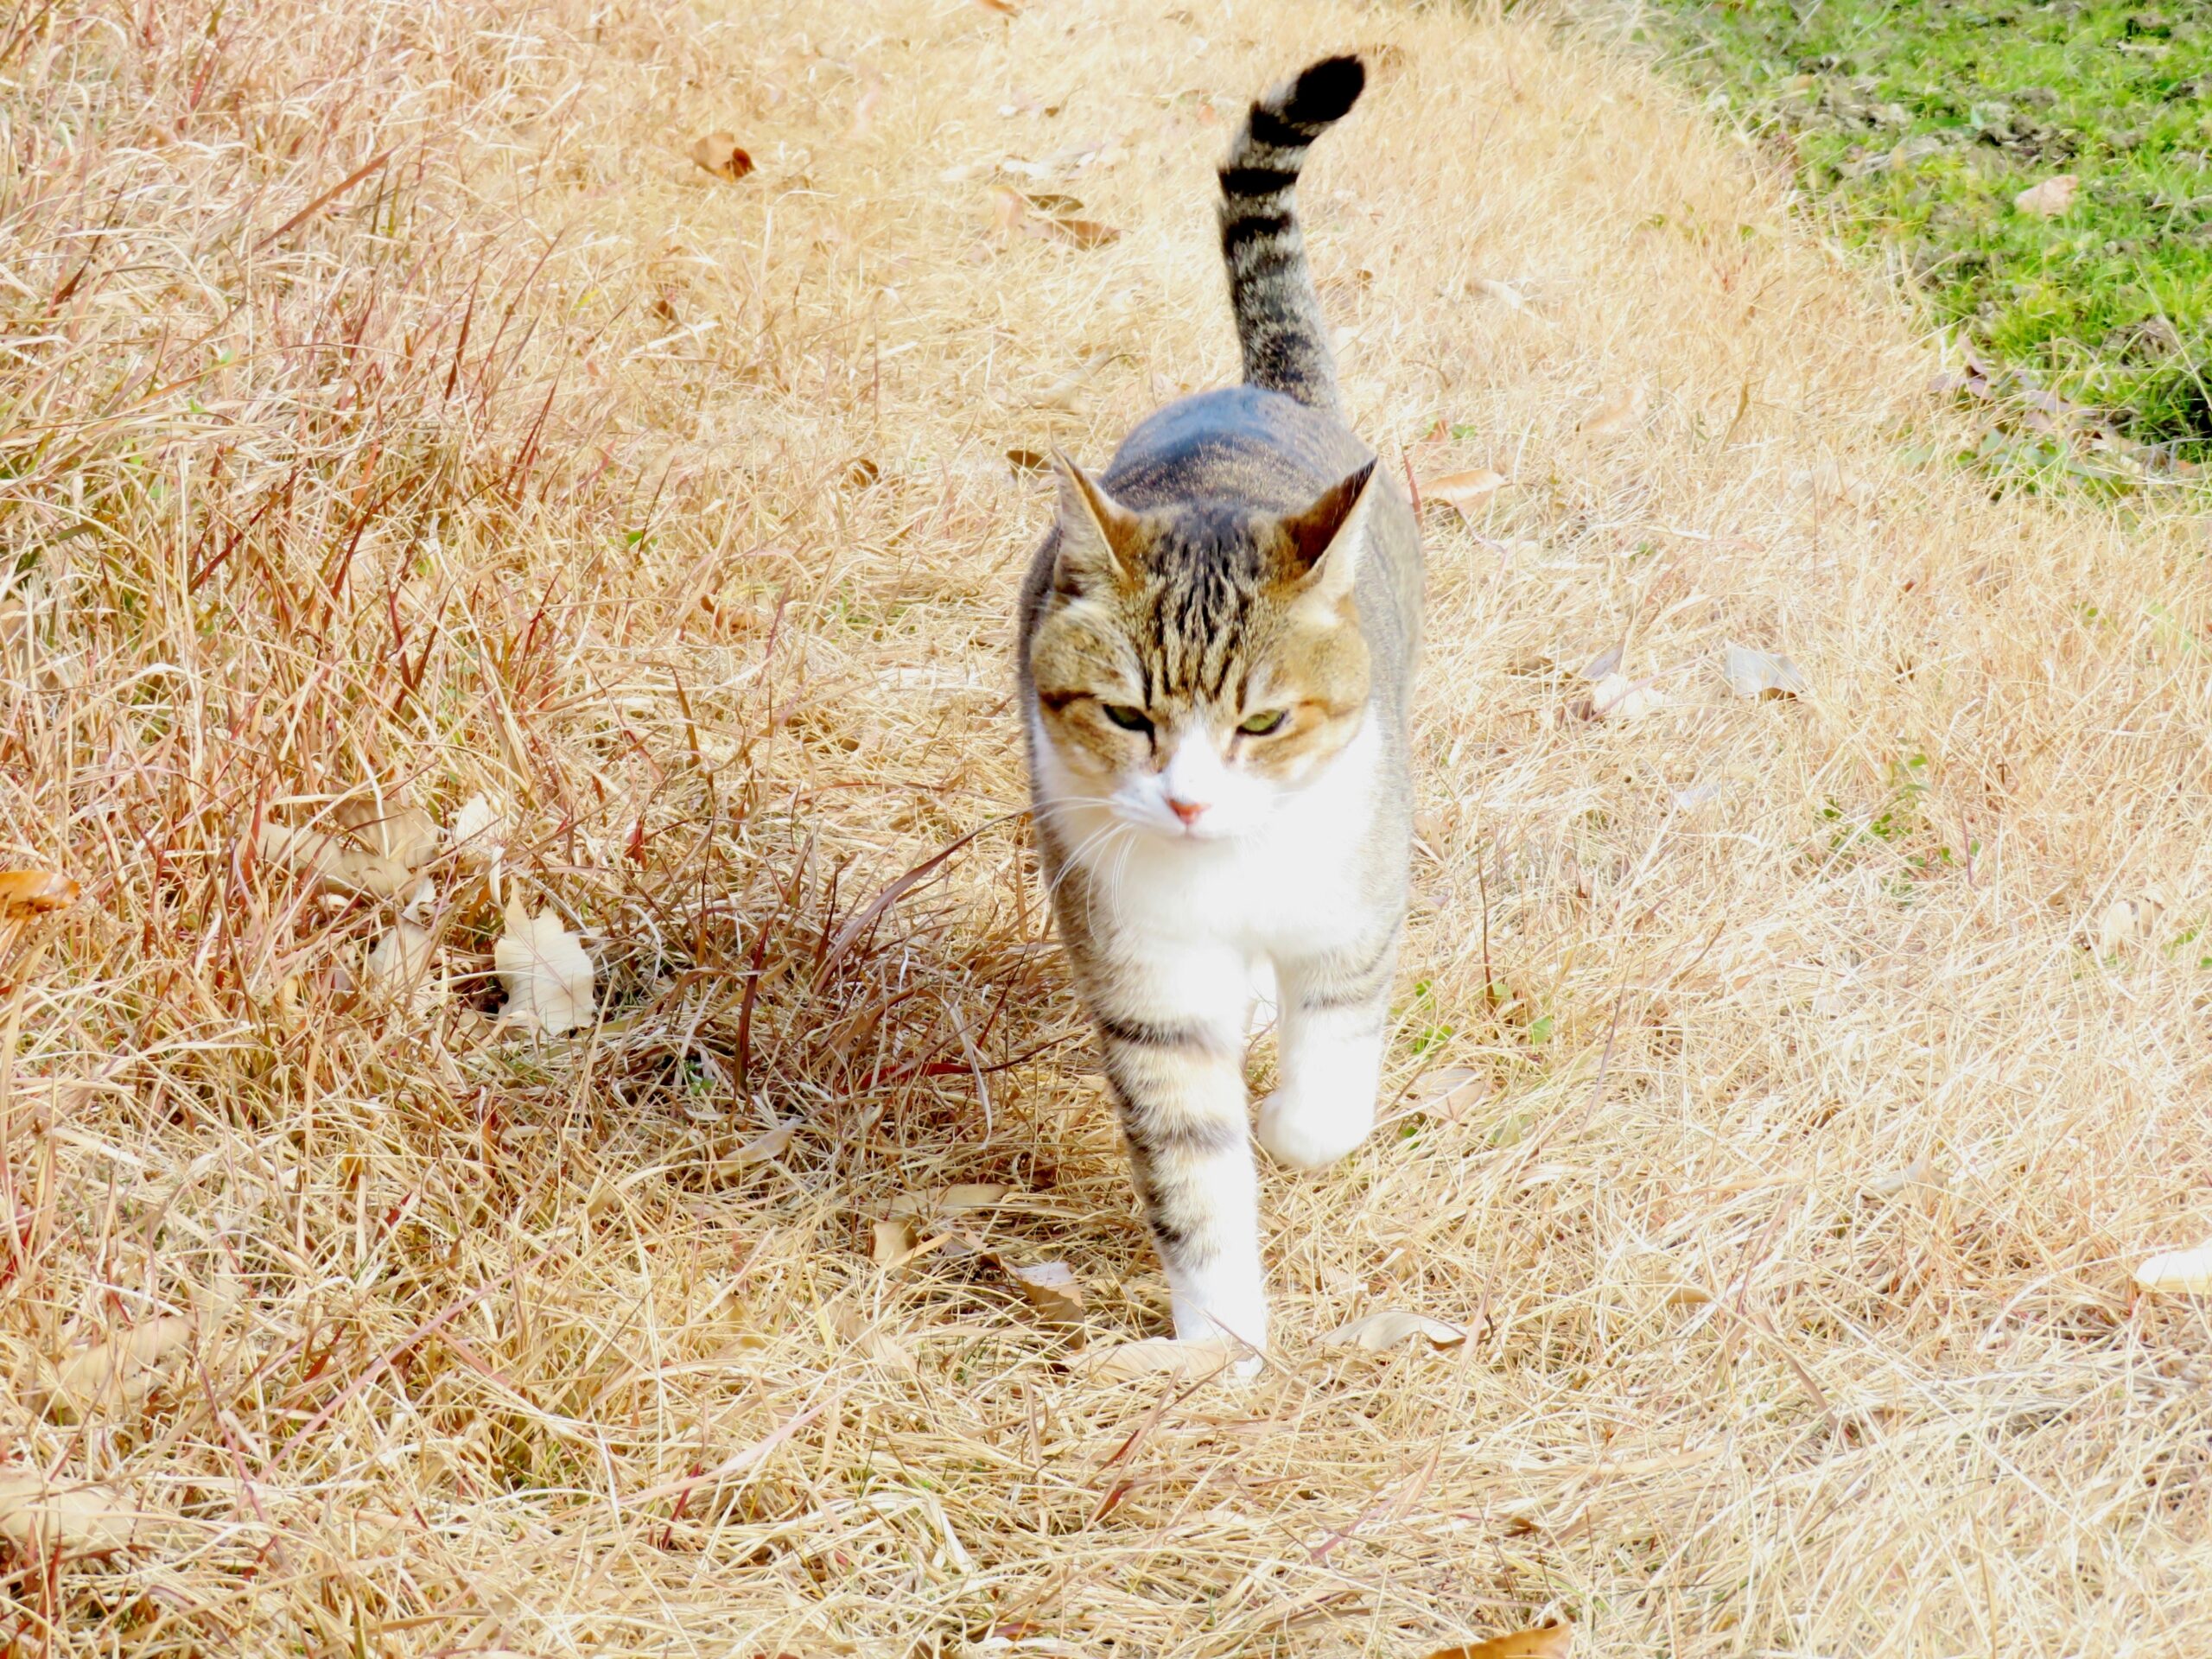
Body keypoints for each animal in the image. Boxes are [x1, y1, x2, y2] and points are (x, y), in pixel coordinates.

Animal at [1013, 55, 1415, 1362]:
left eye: (1264, 724)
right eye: (1128, 719)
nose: (1188, 802)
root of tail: (1260, 389)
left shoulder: (1354, 918)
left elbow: (1326, 1102)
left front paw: (1292, 1126)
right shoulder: (1145, 975)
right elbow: (1191, 1161)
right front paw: (1221, 1342)